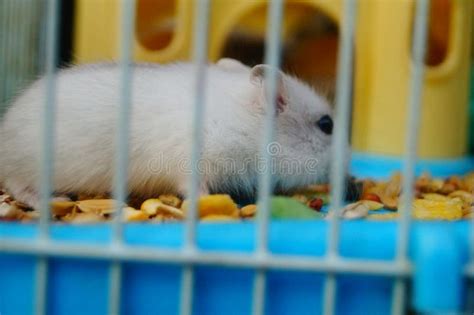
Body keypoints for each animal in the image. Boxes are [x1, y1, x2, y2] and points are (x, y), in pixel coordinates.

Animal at [0, 59, 338, 209]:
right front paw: (210, 201)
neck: (247, 126)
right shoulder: (192, 162)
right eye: (327, 125)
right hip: (28, 166)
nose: (344, 168)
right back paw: (49, 200)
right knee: (16, 185)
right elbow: (193, 188)